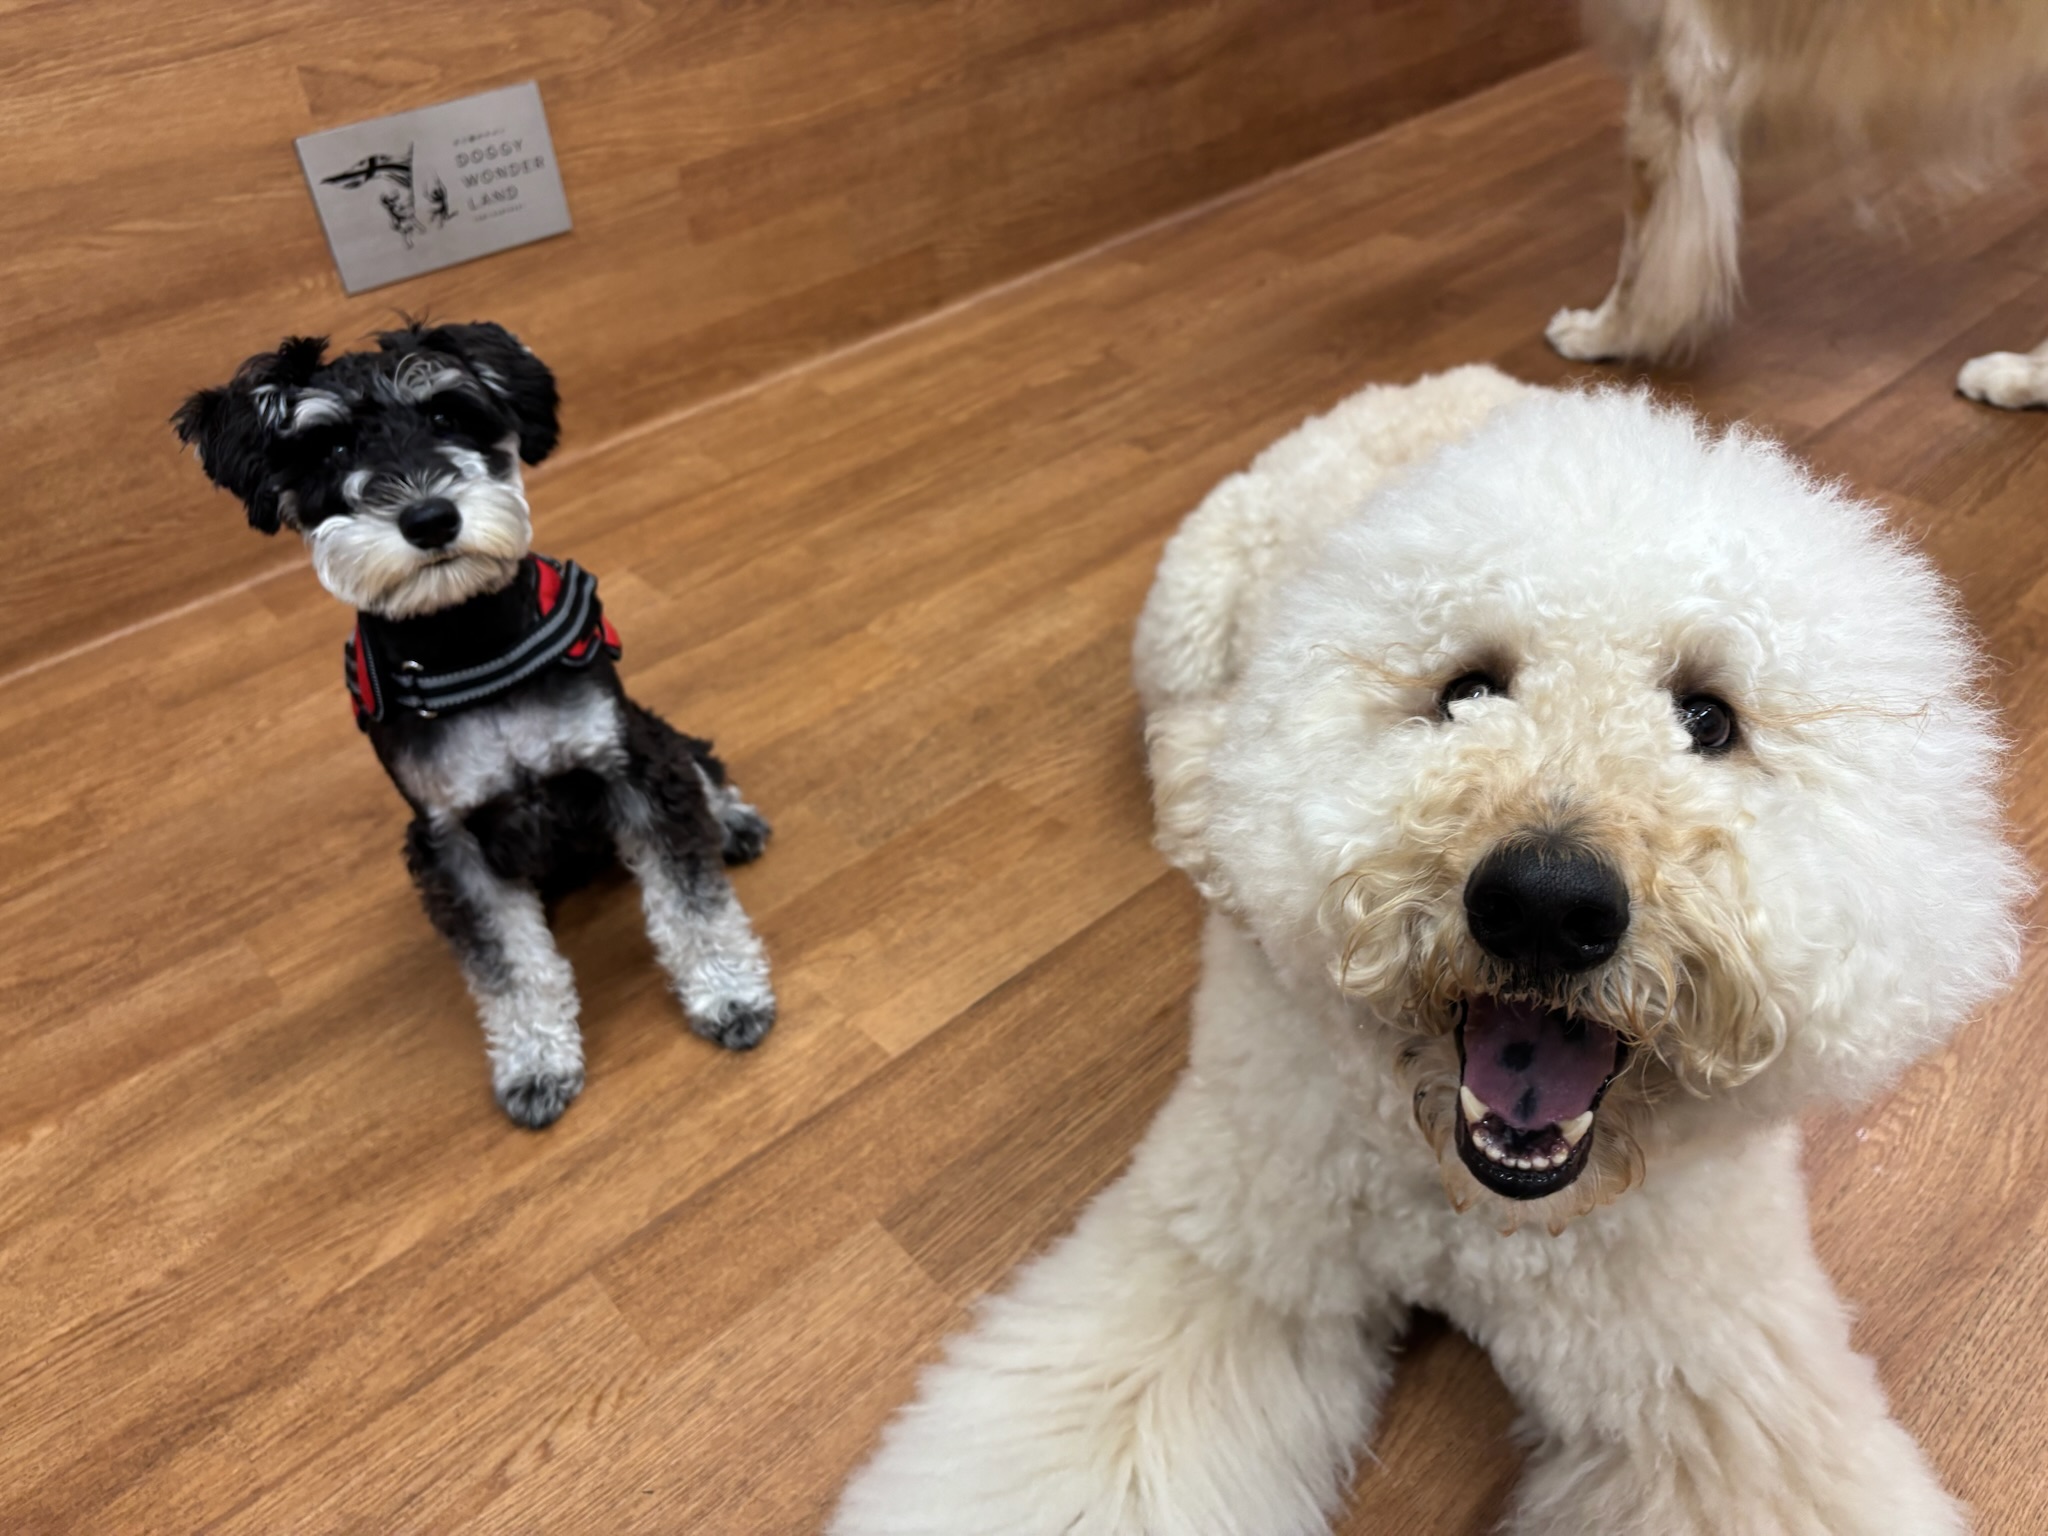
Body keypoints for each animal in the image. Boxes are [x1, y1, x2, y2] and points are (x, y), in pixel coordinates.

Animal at [173, 322, 776, 1128]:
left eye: (446, 414)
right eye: (331, 448)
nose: (430, 519)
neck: (463, 636)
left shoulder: (628, 764)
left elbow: (691, 901)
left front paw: (730, 994)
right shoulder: (451, 840)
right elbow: (512, 969)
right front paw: (536, 1062)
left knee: (697, 759)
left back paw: (733, 819)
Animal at [832, 367, 2024, 1534]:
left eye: (1709, 719)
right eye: (1467, 689)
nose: (1544, 901)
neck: (1474, 1208)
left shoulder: (1704, 1372)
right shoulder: (1234, 1260)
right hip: (1188, 606)